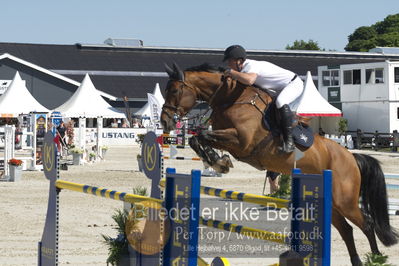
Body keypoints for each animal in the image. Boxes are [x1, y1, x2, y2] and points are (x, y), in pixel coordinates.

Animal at [161, 62, 398, 266]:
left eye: (175, 90)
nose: (165, 121)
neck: (230, 98)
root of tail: (351, 157)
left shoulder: (241, 142)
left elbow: (202, 136)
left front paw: (219, 162)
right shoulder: (229, 139)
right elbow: (197, 138)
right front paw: (219, 161)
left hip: (345, 201)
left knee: (367, 224)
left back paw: (376, 259)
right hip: (332, 203)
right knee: (347, 230)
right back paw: (358, 261)